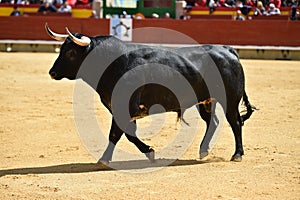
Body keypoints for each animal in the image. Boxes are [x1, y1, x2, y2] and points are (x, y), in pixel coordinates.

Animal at [45, 24, 254, 163]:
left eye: (71, 53)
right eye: (62, 49)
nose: (52, 72)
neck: (112, 62)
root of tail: (228, 50)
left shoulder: (125, 107)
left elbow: (118, 134)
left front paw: (108, 158)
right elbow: (125, 134)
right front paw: (145, 152)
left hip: (230, 100)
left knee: (235, 122)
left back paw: (237, 154)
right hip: (206, 101)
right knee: (213, 122)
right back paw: (203, 151)